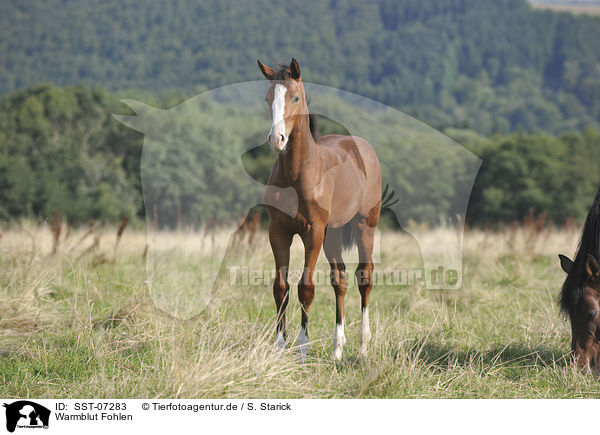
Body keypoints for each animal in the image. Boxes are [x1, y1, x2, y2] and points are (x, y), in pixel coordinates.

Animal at [256, 59, 380, 362]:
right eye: (268, 98)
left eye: (295, 98)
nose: (277, 139)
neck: (297, 174)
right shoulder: (278, 231)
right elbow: (281, 287)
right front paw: (279, 346)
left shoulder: (312, 232)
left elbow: (306, 287)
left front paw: (302, 347)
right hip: (332, 235)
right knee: (340, 280)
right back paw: (337, 350)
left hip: (364, 226)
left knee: (364, 276)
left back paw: (362, 347)